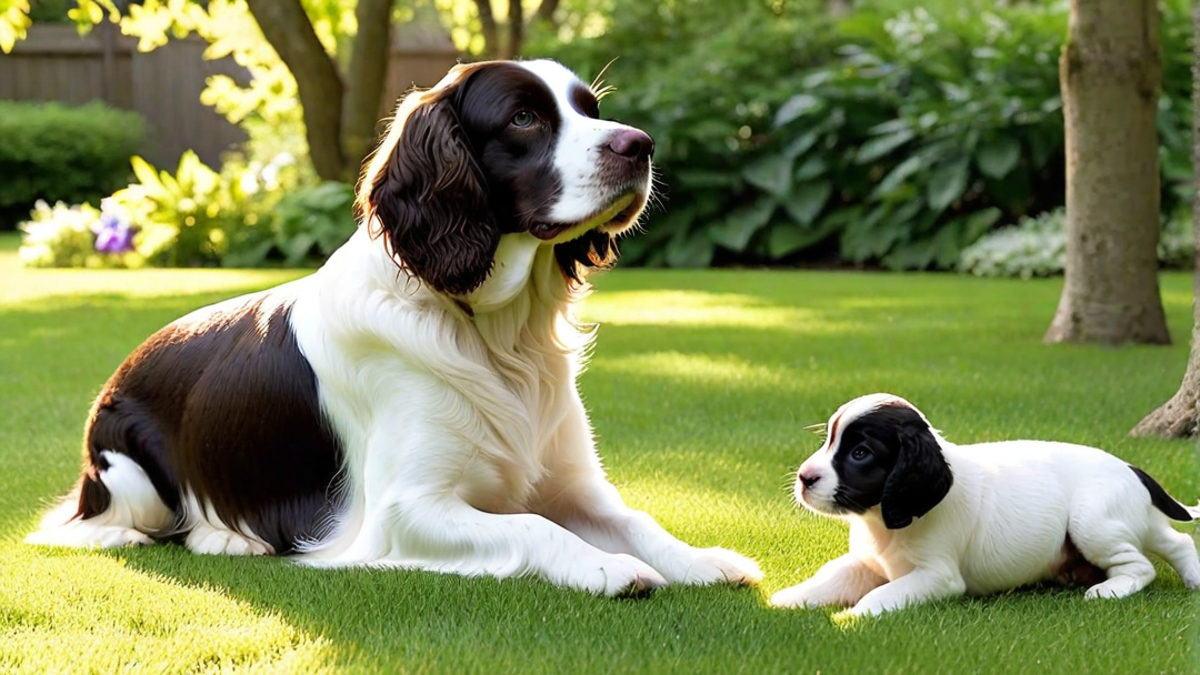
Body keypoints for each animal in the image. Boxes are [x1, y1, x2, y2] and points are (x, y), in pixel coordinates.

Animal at [28, 59, 763, 593]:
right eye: (524, 117)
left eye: (592, 110)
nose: (641, 146)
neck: (492, 331)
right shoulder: (405, 510)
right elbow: (533, 526)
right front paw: (606, 566)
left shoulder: (575, 485)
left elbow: (636, 518)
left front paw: (699, 558)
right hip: (126, 472)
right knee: (103, 522)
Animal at [768, 389, 1200, 614]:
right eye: (828, 440)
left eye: (860, 454)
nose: (804, 478)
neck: (883, 522)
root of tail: (1129, 467)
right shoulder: (865, 563)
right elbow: (830, 576)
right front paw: (788, 599)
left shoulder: (938, 577)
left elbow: (880, 595)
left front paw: (852, 617)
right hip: (1128, 519)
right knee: (1176, 540)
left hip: (1091, 519)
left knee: (1143, 564)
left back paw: (1111, 589)